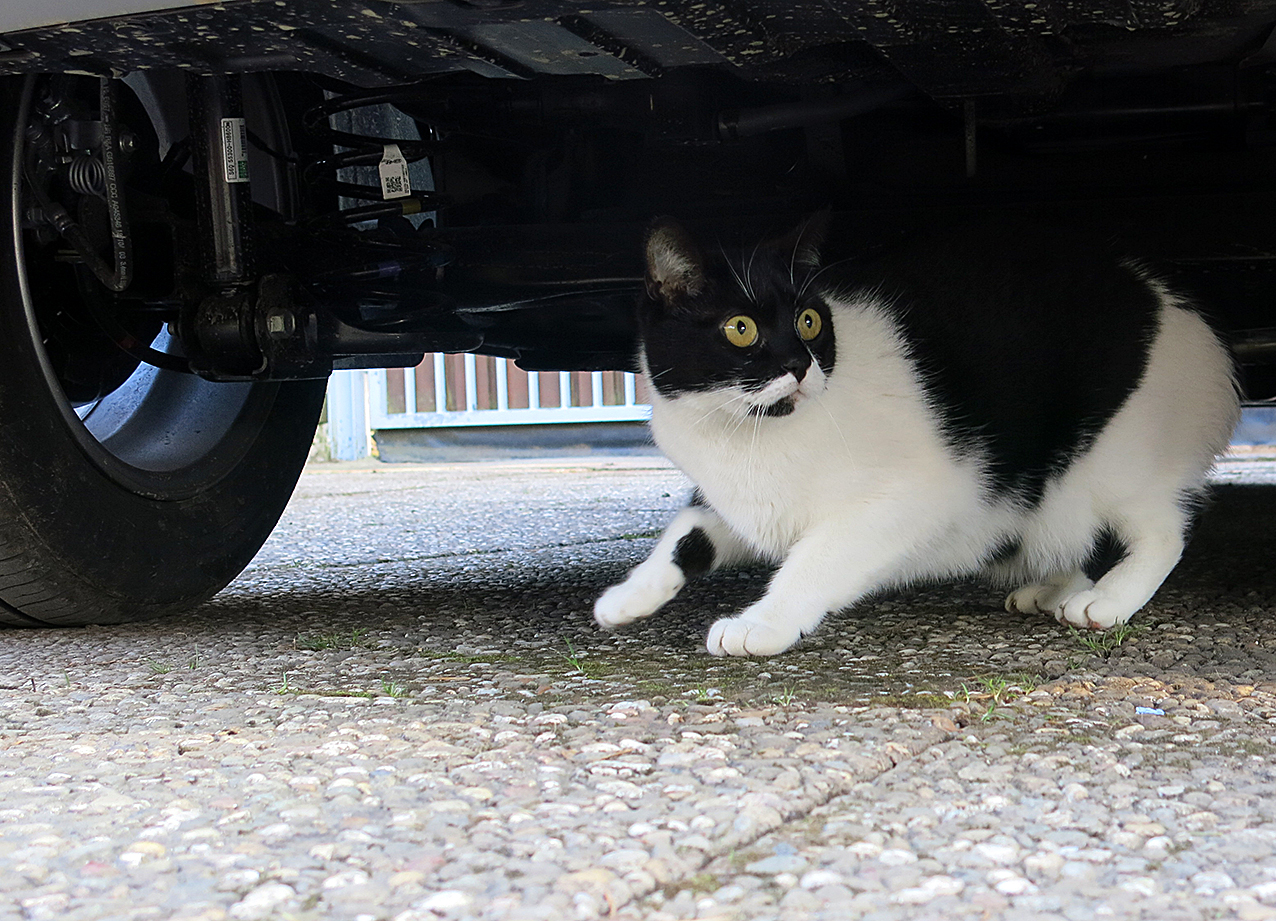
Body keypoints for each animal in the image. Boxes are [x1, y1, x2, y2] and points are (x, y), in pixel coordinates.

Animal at [594, 213, 1240, 656]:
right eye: (740, 328)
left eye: (810, 321)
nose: (801, 365)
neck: (746, 435)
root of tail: (1179, 307)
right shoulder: (737, 498)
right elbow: (686, 533)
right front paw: (628, 596)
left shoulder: (908, 497)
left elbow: (815, 560)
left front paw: (763, 623)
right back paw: (1053, 586)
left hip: (1114, 458)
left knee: (1164, 529)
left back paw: (1108, 597)